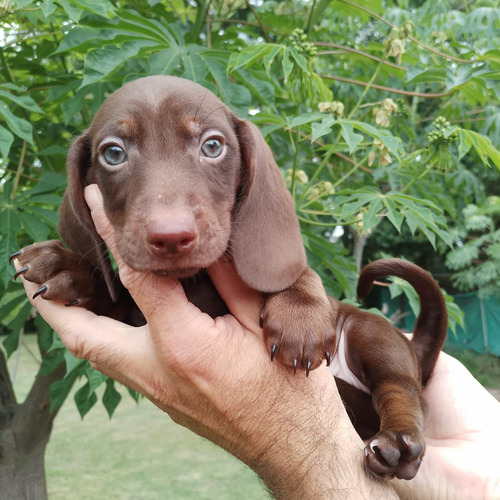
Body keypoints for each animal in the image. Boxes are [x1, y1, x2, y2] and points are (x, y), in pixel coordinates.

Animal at [12, 75, 446, 480]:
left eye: (212, 146)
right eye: (113, 153)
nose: (171, 236)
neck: (196, 282)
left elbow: (297, 272)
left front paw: (300, 312)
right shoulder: (132, 314)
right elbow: (112, 293)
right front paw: (70, 267)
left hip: (372, 335)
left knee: (402, 391)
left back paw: (399, 441)